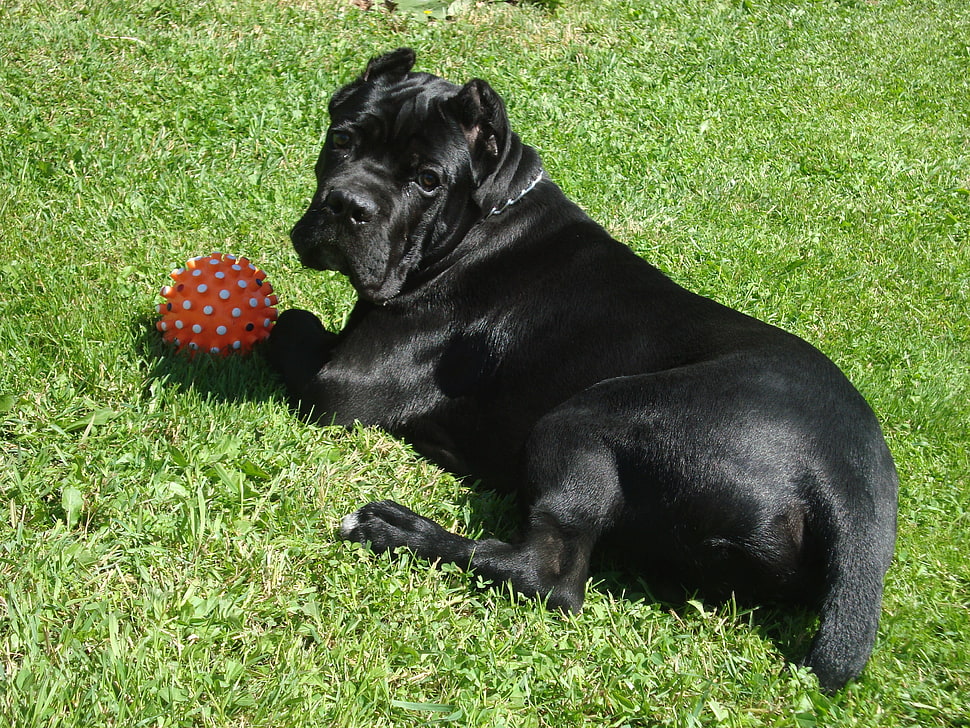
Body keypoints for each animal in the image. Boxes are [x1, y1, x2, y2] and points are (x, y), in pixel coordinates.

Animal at [266, 48, 900, 692]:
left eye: (427, 180)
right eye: (342, 139)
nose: (347, 205)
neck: (486, 216)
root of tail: (848, 485)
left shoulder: (344, 384)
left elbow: (287, 321)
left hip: (586, 417)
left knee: (549, 576)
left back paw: (393, 527)